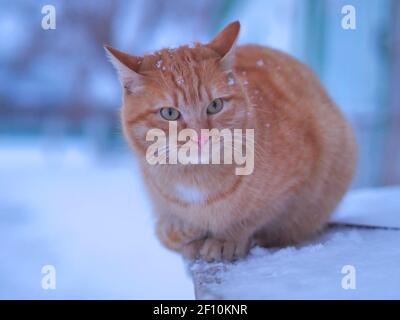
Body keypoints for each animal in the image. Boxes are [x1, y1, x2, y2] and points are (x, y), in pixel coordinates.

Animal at [106, 21, 356, 262]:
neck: (195, 179)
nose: (200, 135)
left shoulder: (297, 181)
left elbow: (253, 218)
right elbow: (169, 231)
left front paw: (226, 239)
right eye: (169, 113)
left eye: (215, 105)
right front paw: (186, 232)